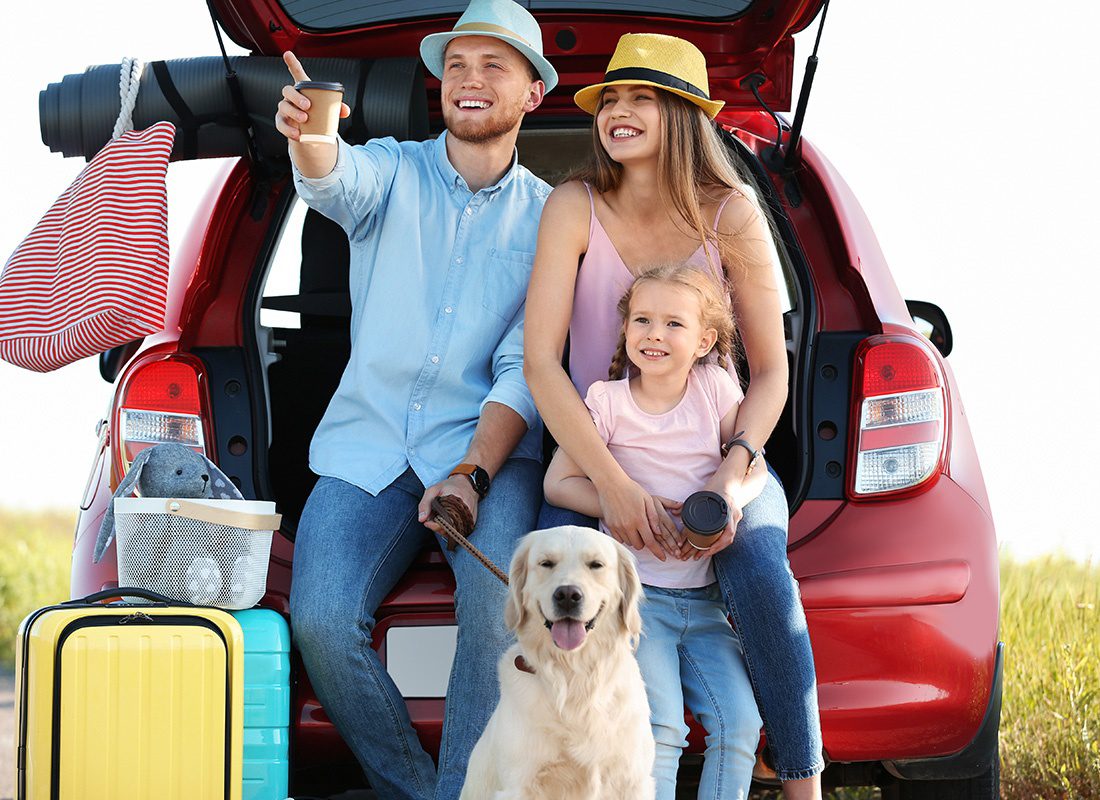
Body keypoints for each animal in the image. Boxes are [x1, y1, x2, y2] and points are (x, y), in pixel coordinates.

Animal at [457, 525, 651, 800]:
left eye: (596, 564)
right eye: (546, 563)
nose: (568, 595)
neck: (573, 674)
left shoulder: (633, 780)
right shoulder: (519, 785)